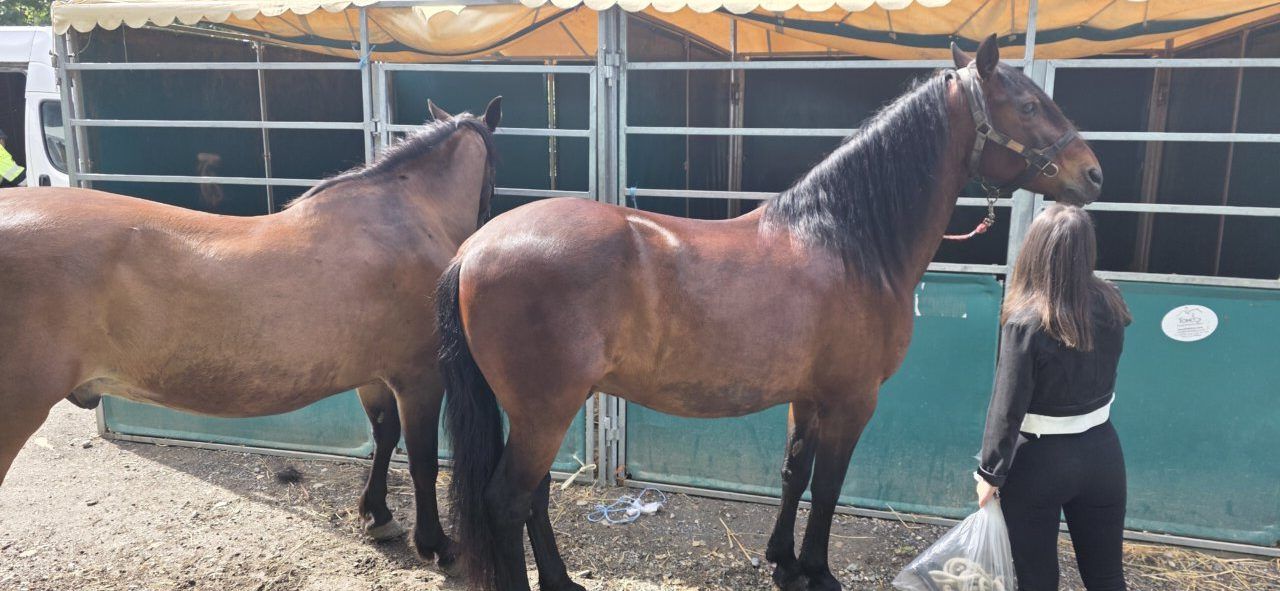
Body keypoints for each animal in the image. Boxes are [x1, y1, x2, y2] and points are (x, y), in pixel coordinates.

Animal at [0, 97, 501, 570]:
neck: (401, 217)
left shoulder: (376, 377)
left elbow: (383, 438)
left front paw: (377, 516)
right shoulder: (419, 378)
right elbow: (421, 461)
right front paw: (435, 544)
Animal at [438, 36, 1102, 591]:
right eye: (1028, 105)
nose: (1092, 173)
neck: (846, 240)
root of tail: (474, 248)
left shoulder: (806, 397)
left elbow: (794, 474)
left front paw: (783, 563)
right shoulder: (852, 400)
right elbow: (829, 486)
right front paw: (819, 572)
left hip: (539, 411)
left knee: (533, 496)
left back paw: (562, 581)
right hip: (545, 409)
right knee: (507, 501)